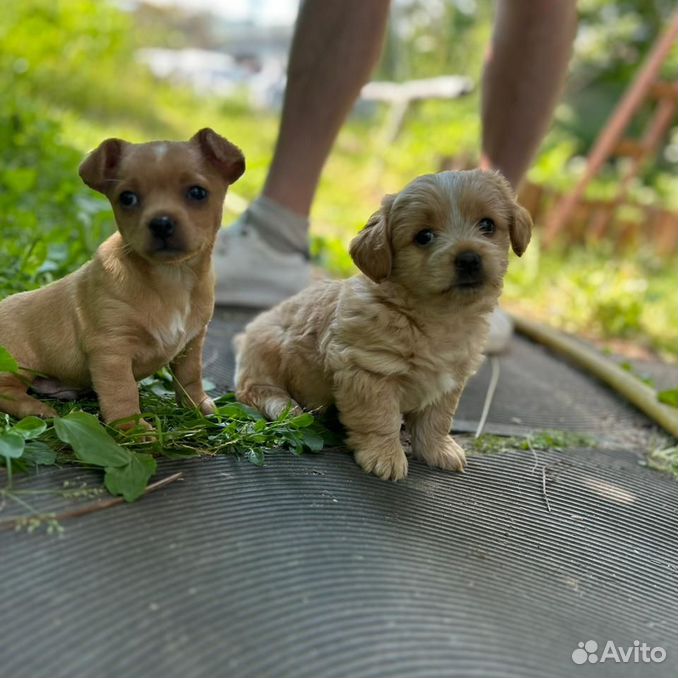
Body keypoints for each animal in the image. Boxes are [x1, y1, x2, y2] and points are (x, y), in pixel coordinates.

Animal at [0, 128, 244, 430]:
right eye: (127, 198)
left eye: (197, 193)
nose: (161, 223)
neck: (171, 277)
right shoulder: (111, 351)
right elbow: (122, 392)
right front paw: (134, 429)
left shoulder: (192, 343)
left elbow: (190, 379)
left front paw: (198, 407)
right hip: (18, 362)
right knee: (6, 391)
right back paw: (37, 409)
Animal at [236, 173, 532, 486]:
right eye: (424, 236)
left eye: (487, 225)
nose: (469, 258)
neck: (438, 317)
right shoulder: (369, 370)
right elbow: (379, 417)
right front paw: (384, 456)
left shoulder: (450, 379)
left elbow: (438, 419)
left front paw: (438, 449)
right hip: (268, 347)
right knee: (253, 389)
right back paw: (285, 406)